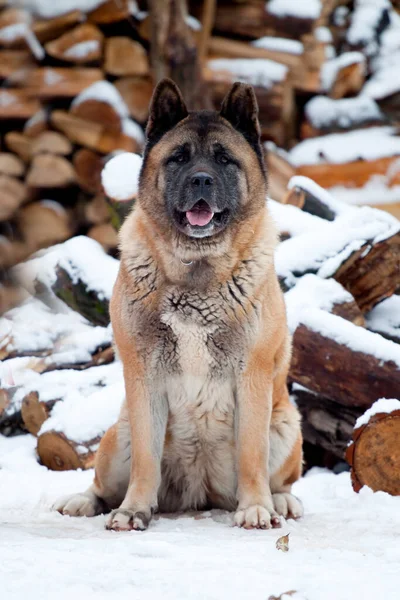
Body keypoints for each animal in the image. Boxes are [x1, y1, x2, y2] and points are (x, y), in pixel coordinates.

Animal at [54, 78, 304, 528]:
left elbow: (251, 455)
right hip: (119, 436)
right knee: (102, 484)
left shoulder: (252, 377)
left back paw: (280, 501)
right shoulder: (144, 378)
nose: (201, 180)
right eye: (179, 158)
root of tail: (199, 492)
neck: (197, 274)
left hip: (285, 424)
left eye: (224, 159)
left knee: (282, 478)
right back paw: (84, 501)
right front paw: (133, 509)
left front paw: (255, 508)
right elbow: (146, 461)